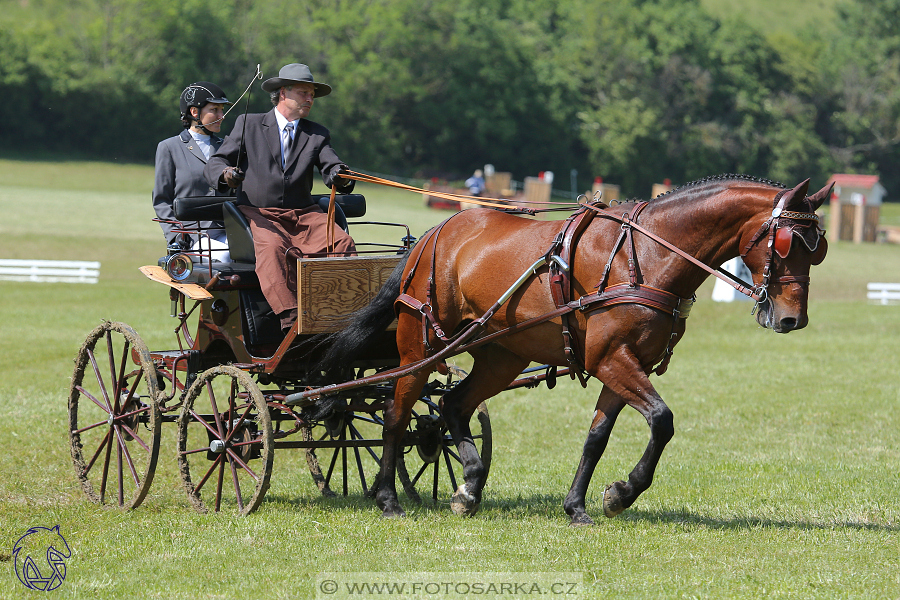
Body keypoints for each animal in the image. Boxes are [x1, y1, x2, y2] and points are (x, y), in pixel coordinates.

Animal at [316, 175, 828, 524]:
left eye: (817, 249)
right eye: (787, 244)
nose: (792, 319)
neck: (648, 255)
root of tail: (434, 232)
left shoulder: (627, 364)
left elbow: (597, 436)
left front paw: (584, 503)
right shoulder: (611, 359)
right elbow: (662, 420)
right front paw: (622, 492)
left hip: (503, 355)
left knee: (453, 404)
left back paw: (470, 487)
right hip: (421, 346)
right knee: (398, 410)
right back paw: (387, 497)